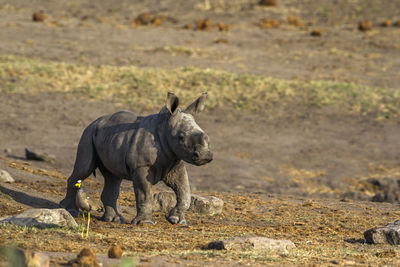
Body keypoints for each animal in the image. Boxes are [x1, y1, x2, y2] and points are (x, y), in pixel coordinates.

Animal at [59, 93, 212, 225]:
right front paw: (146, 223)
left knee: (113, 178)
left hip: (108, 137)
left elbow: (184, 191)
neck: (164, 128)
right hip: (88, 133)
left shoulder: (176, 161)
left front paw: (177, 220)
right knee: (84, 169)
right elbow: (145, 194)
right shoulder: (141, 166)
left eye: (205, 136)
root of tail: (94, 122)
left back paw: (114, 219)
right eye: (181, 137)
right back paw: (70, 210)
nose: (205, 155)